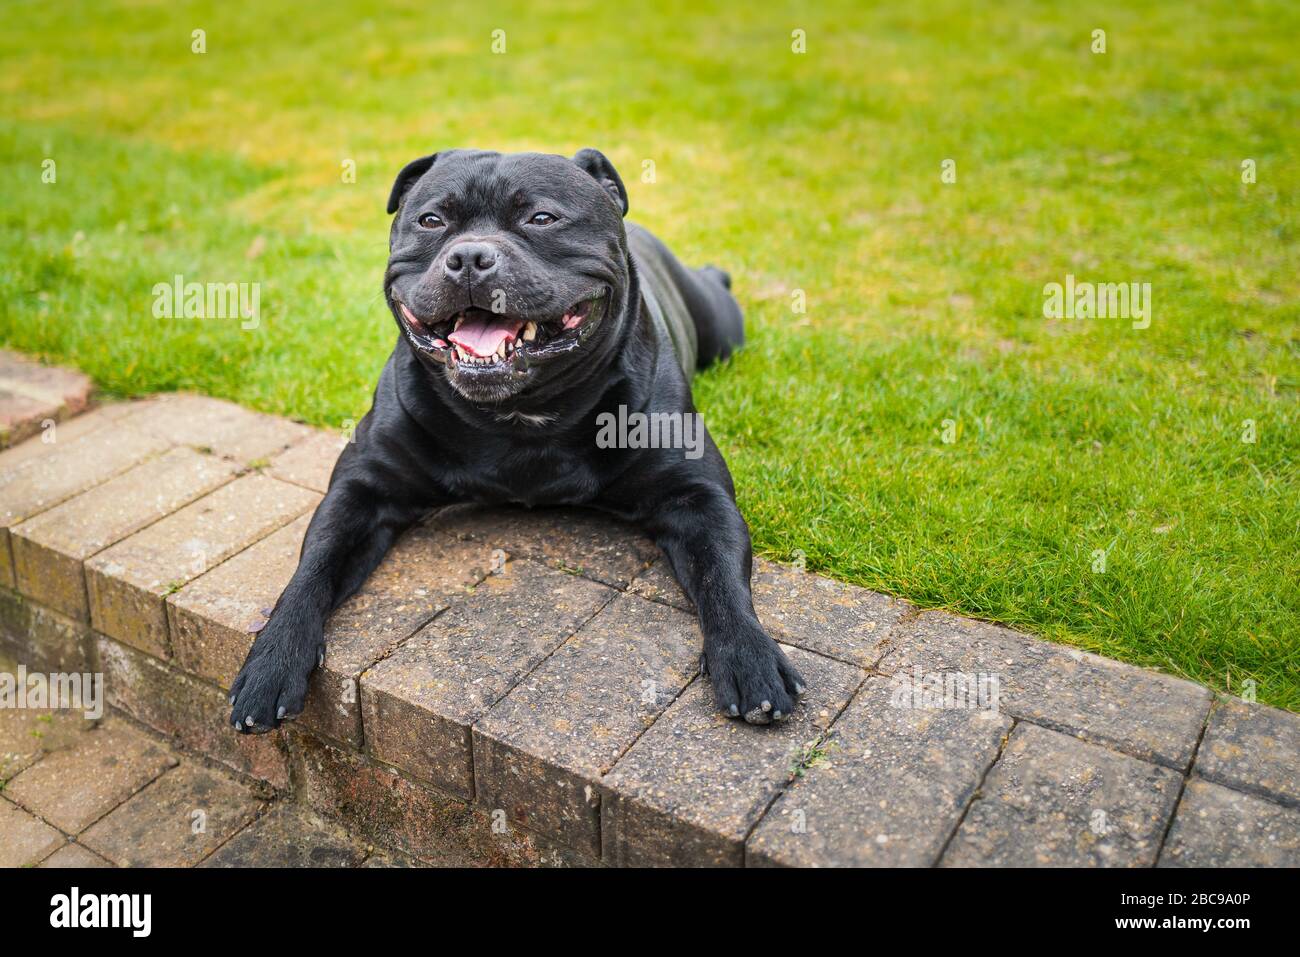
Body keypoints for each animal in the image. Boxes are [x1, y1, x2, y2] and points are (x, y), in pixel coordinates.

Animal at [228, 147, 806, 733]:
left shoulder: (696, 497)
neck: (519, 416)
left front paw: (749, 657)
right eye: (430, 221)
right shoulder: (363, 490)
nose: (469, 257)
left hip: (720, 328)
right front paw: (274, 656)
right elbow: (313, 567)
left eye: (542, 218)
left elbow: (721, 577)